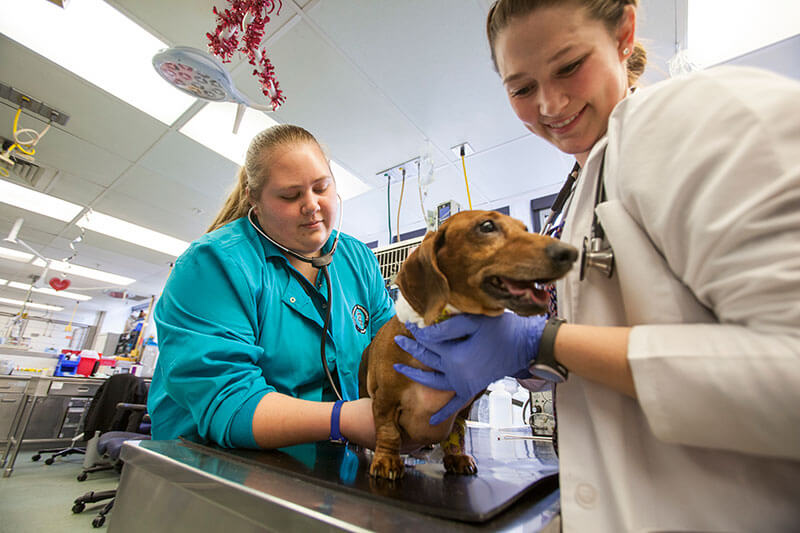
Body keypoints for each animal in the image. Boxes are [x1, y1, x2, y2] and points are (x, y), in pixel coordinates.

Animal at [360, 208, 580, 478]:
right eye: (486, 226)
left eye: (526, 228)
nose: (570, 252)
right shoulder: (385, 400)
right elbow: (388, 431)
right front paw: (387, 461)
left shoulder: (462, 408)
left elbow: (458, 431)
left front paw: (457, 456)